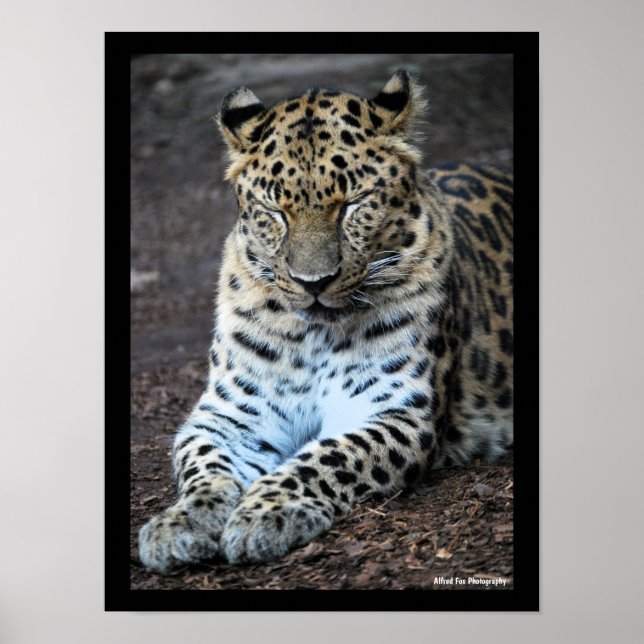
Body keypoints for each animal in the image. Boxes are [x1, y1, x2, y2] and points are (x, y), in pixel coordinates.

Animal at [138, 69, 514, 572]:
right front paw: (181, 522)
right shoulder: (230, 415)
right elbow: (204, 466)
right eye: (276, 212)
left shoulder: (396, 410)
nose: (313, 282)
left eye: (352, 205)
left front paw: (267, 511)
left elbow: (326, 458)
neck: (311, 334)